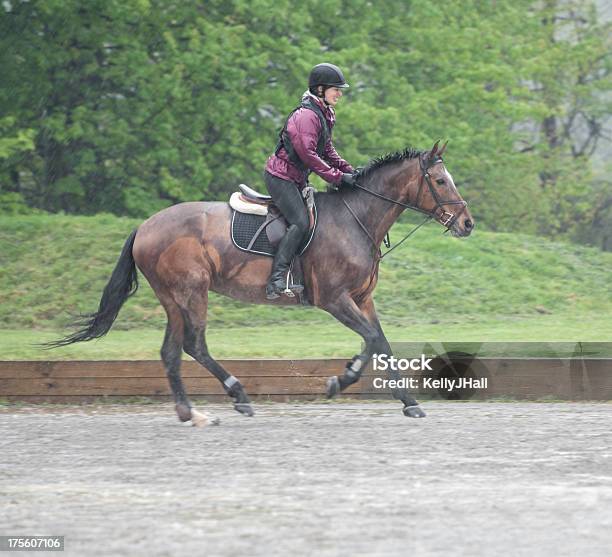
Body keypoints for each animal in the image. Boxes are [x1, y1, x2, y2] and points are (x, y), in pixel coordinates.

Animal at [47, 140, 474, 426]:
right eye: (440, 180)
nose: (468, 224)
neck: (356, 219)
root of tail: (145, 226)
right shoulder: (334, 299)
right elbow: (370, 340)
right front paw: (340, 380)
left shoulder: (362, 298)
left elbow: (381, 343)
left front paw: (408, 402)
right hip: (191, 291)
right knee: (194, 344)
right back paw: (238, 395)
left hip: (172, 298)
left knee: (171, 352)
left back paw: (191, 414)